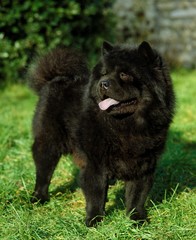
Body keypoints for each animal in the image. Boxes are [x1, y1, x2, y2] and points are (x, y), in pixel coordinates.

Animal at [28, 41, 175, 227]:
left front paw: (137, 219)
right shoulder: (95, 164)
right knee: (43, 174)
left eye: (124, 74)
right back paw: (39, 198)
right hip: (48, 143)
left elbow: (137, 196)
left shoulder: (143, 165)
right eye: (104, 74)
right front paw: (94, 220)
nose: (103, 83)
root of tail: (54, 79)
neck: (125, 126)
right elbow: (96, 194)